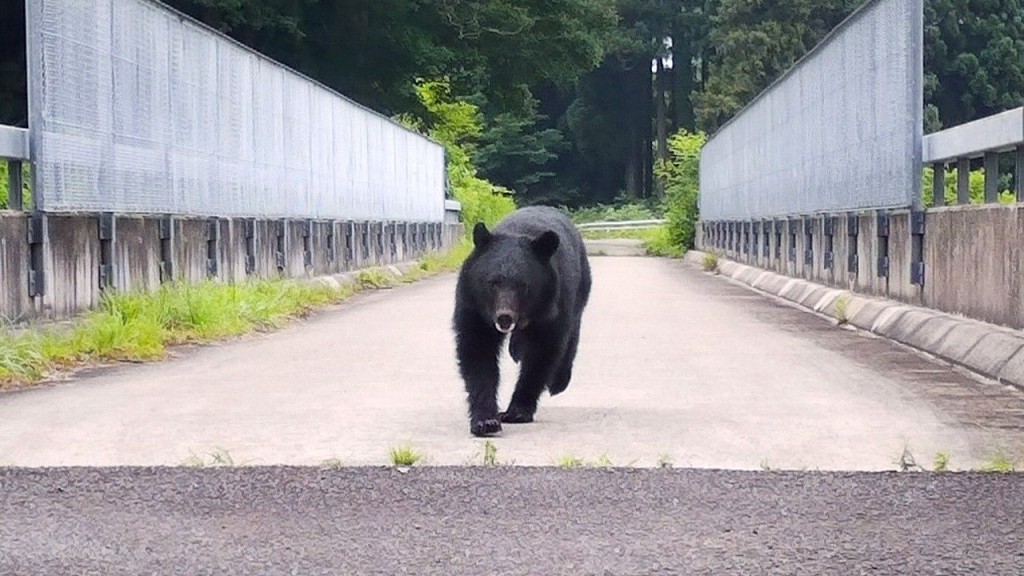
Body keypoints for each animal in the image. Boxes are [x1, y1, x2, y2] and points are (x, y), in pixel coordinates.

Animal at [452, 205, 592, 437]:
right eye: (493, 283)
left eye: (522, 285)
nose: (504, 317)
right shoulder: (473, 304)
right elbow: (477, 352)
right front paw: (486, 421)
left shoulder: (552, 305)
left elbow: (541, 354)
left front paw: (516, 411)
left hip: (580, 288)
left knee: (572, 331)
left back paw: (558, 382)